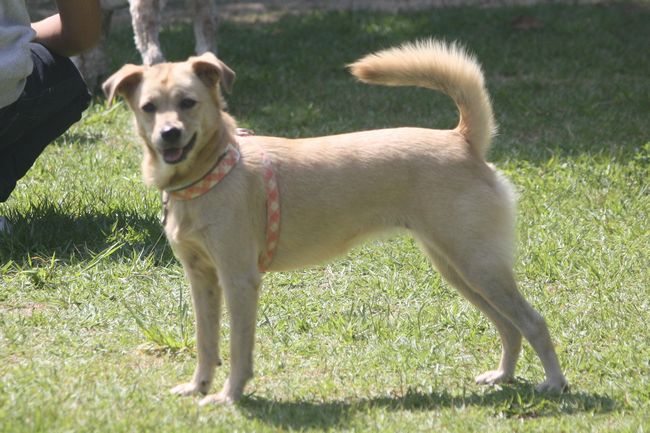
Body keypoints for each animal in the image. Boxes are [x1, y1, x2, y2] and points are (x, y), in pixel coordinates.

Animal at [102, 39, 569, 404]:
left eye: (188, 102)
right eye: (148, 107)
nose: (169, 134)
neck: (214, 171)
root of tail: (463, 140)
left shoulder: (239, 280)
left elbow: (237, 349)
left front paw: (229, 396)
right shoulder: (202, 279)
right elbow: (206, 341)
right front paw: (199, 386)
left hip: (478, 264)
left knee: (533, 322)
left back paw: (555, 383)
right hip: (458, 268)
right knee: (508, 327)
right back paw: (504, 376)